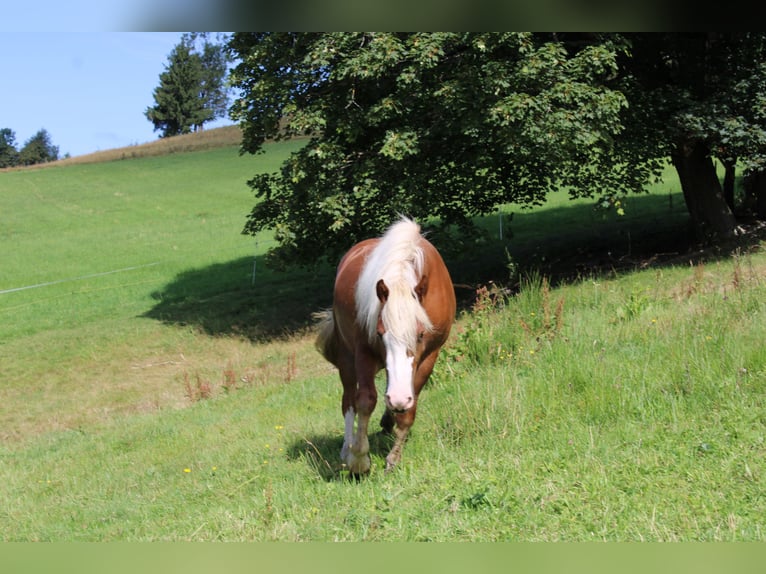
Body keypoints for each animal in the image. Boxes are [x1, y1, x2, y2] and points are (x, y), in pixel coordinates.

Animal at [316, 217, 456, 476]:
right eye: (380, 334)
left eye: (421, 334)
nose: (398, 398)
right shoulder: (363, 351)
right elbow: (365, 401)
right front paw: (359, 460)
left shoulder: (430, 355)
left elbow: (410, 407)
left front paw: (393, 456)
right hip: (346, 358)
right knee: (348, 401)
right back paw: (347, 448)